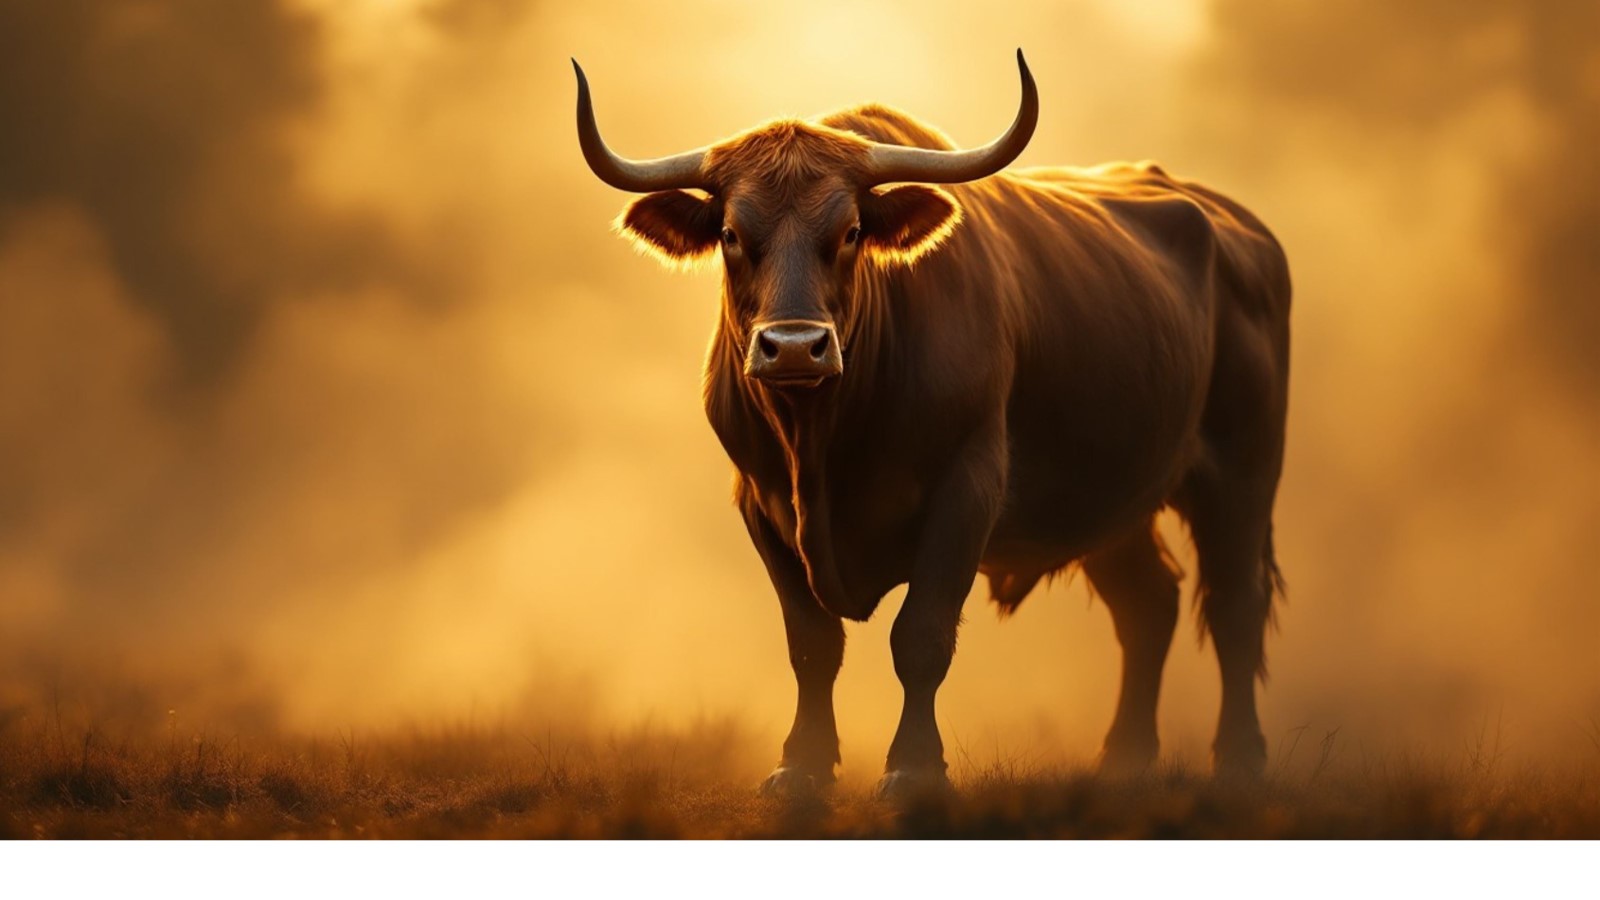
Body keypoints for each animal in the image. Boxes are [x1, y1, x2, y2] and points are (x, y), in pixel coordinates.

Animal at [573, 50, 1291, 798]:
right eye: (731, 235)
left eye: (851, 232)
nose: (795, 347)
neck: (821, 443)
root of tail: (1235, 224)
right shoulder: (760, 501)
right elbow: (812, 643)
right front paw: (801, 766)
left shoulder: (966, 486)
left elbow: (920, 636)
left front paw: (914, 767)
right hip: (1112, 496)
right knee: (1148, 604)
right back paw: (1123, 763)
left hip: (1242, 470)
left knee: (1235, 604)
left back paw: (1240, 761)